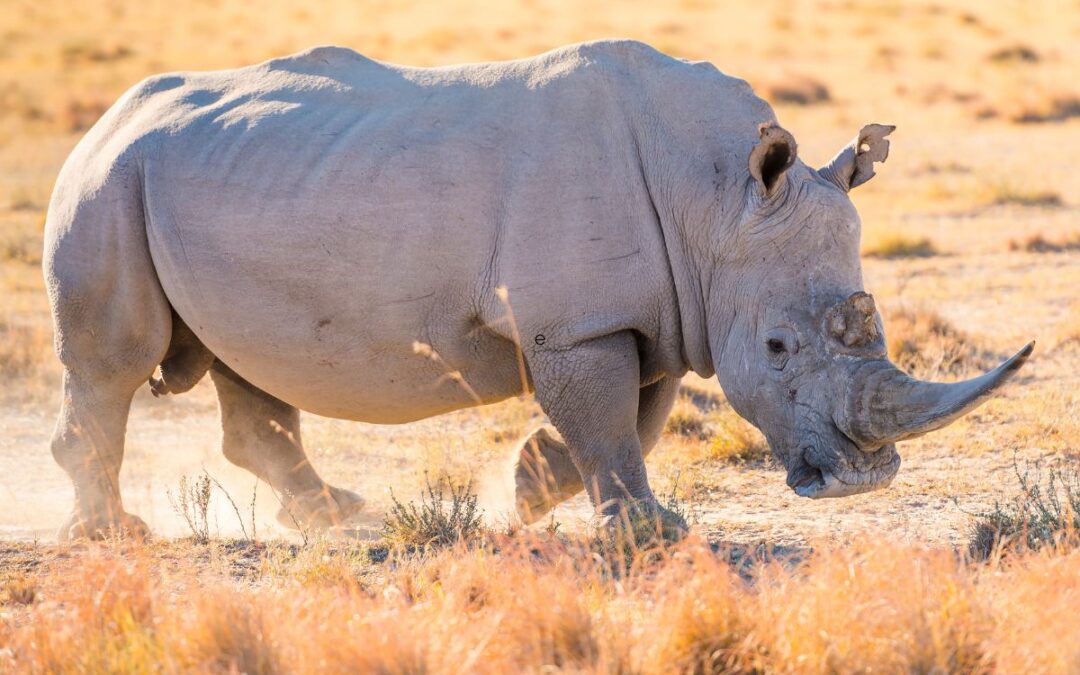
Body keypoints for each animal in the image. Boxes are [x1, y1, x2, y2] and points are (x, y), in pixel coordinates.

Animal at [42, 39, 1028, 540]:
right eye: (778, 348)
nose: (863, 481)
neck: (717, 200)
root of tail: (106, 118)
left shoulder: (649, 313)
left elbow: (634, 417)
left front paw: (528, 491)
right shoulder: (579, 323)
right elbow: (611, 422)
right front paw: (652, 534)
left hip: (200, 182)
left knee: (246, 364)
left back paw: (336, 516)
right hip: (108, 182)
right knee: (114, 363)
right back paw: (114, 536)